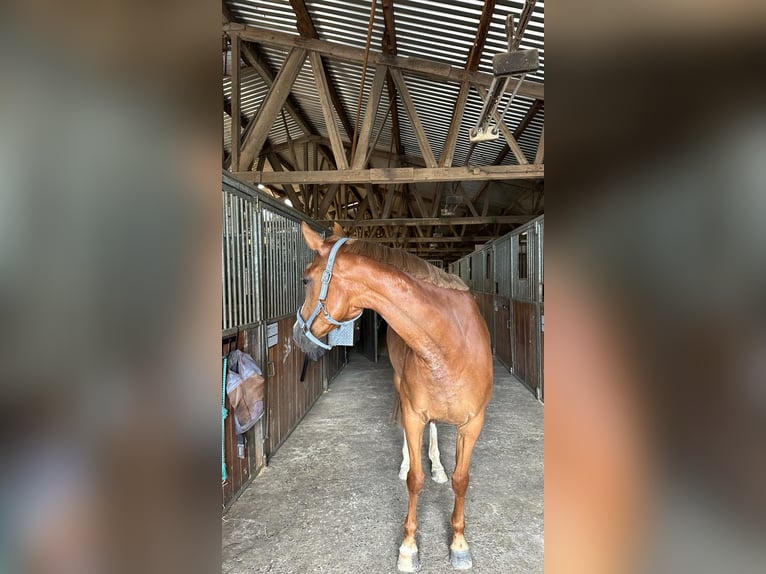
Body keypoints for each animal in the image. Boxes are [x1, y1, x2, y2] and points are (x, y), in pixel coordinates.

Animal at [294, 223, 492, 572]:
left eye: (306, 279)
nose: (295, 335)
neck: (450, 345)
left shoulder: (473, 423)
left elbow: (461, 480)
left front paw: (459, 544)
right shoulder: (413, 414)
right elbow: (414, 480)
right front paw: (408, 548)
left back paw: (437, 466)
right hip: (400, 385)